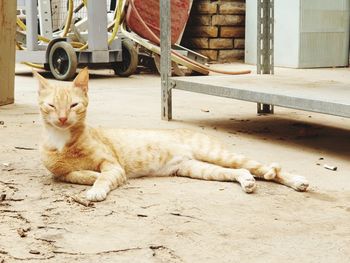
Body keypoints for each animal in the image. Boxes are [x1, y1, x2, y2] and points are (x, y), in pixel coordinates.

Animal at [34, 68, 308, 202]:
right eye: (51, 106)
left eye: (73, 106)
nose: (62, 119)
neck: (62, 141)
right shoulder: (60, 173)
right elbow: (73, 175)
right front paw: (90, 177)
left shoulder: (112, 165)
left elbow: (104, 177)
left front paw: (96, 188)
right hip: (198, 169)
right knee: (242, 171)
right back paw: (248, 181)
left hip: (218, 155)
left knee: (265, 168)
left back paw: (297, 181)